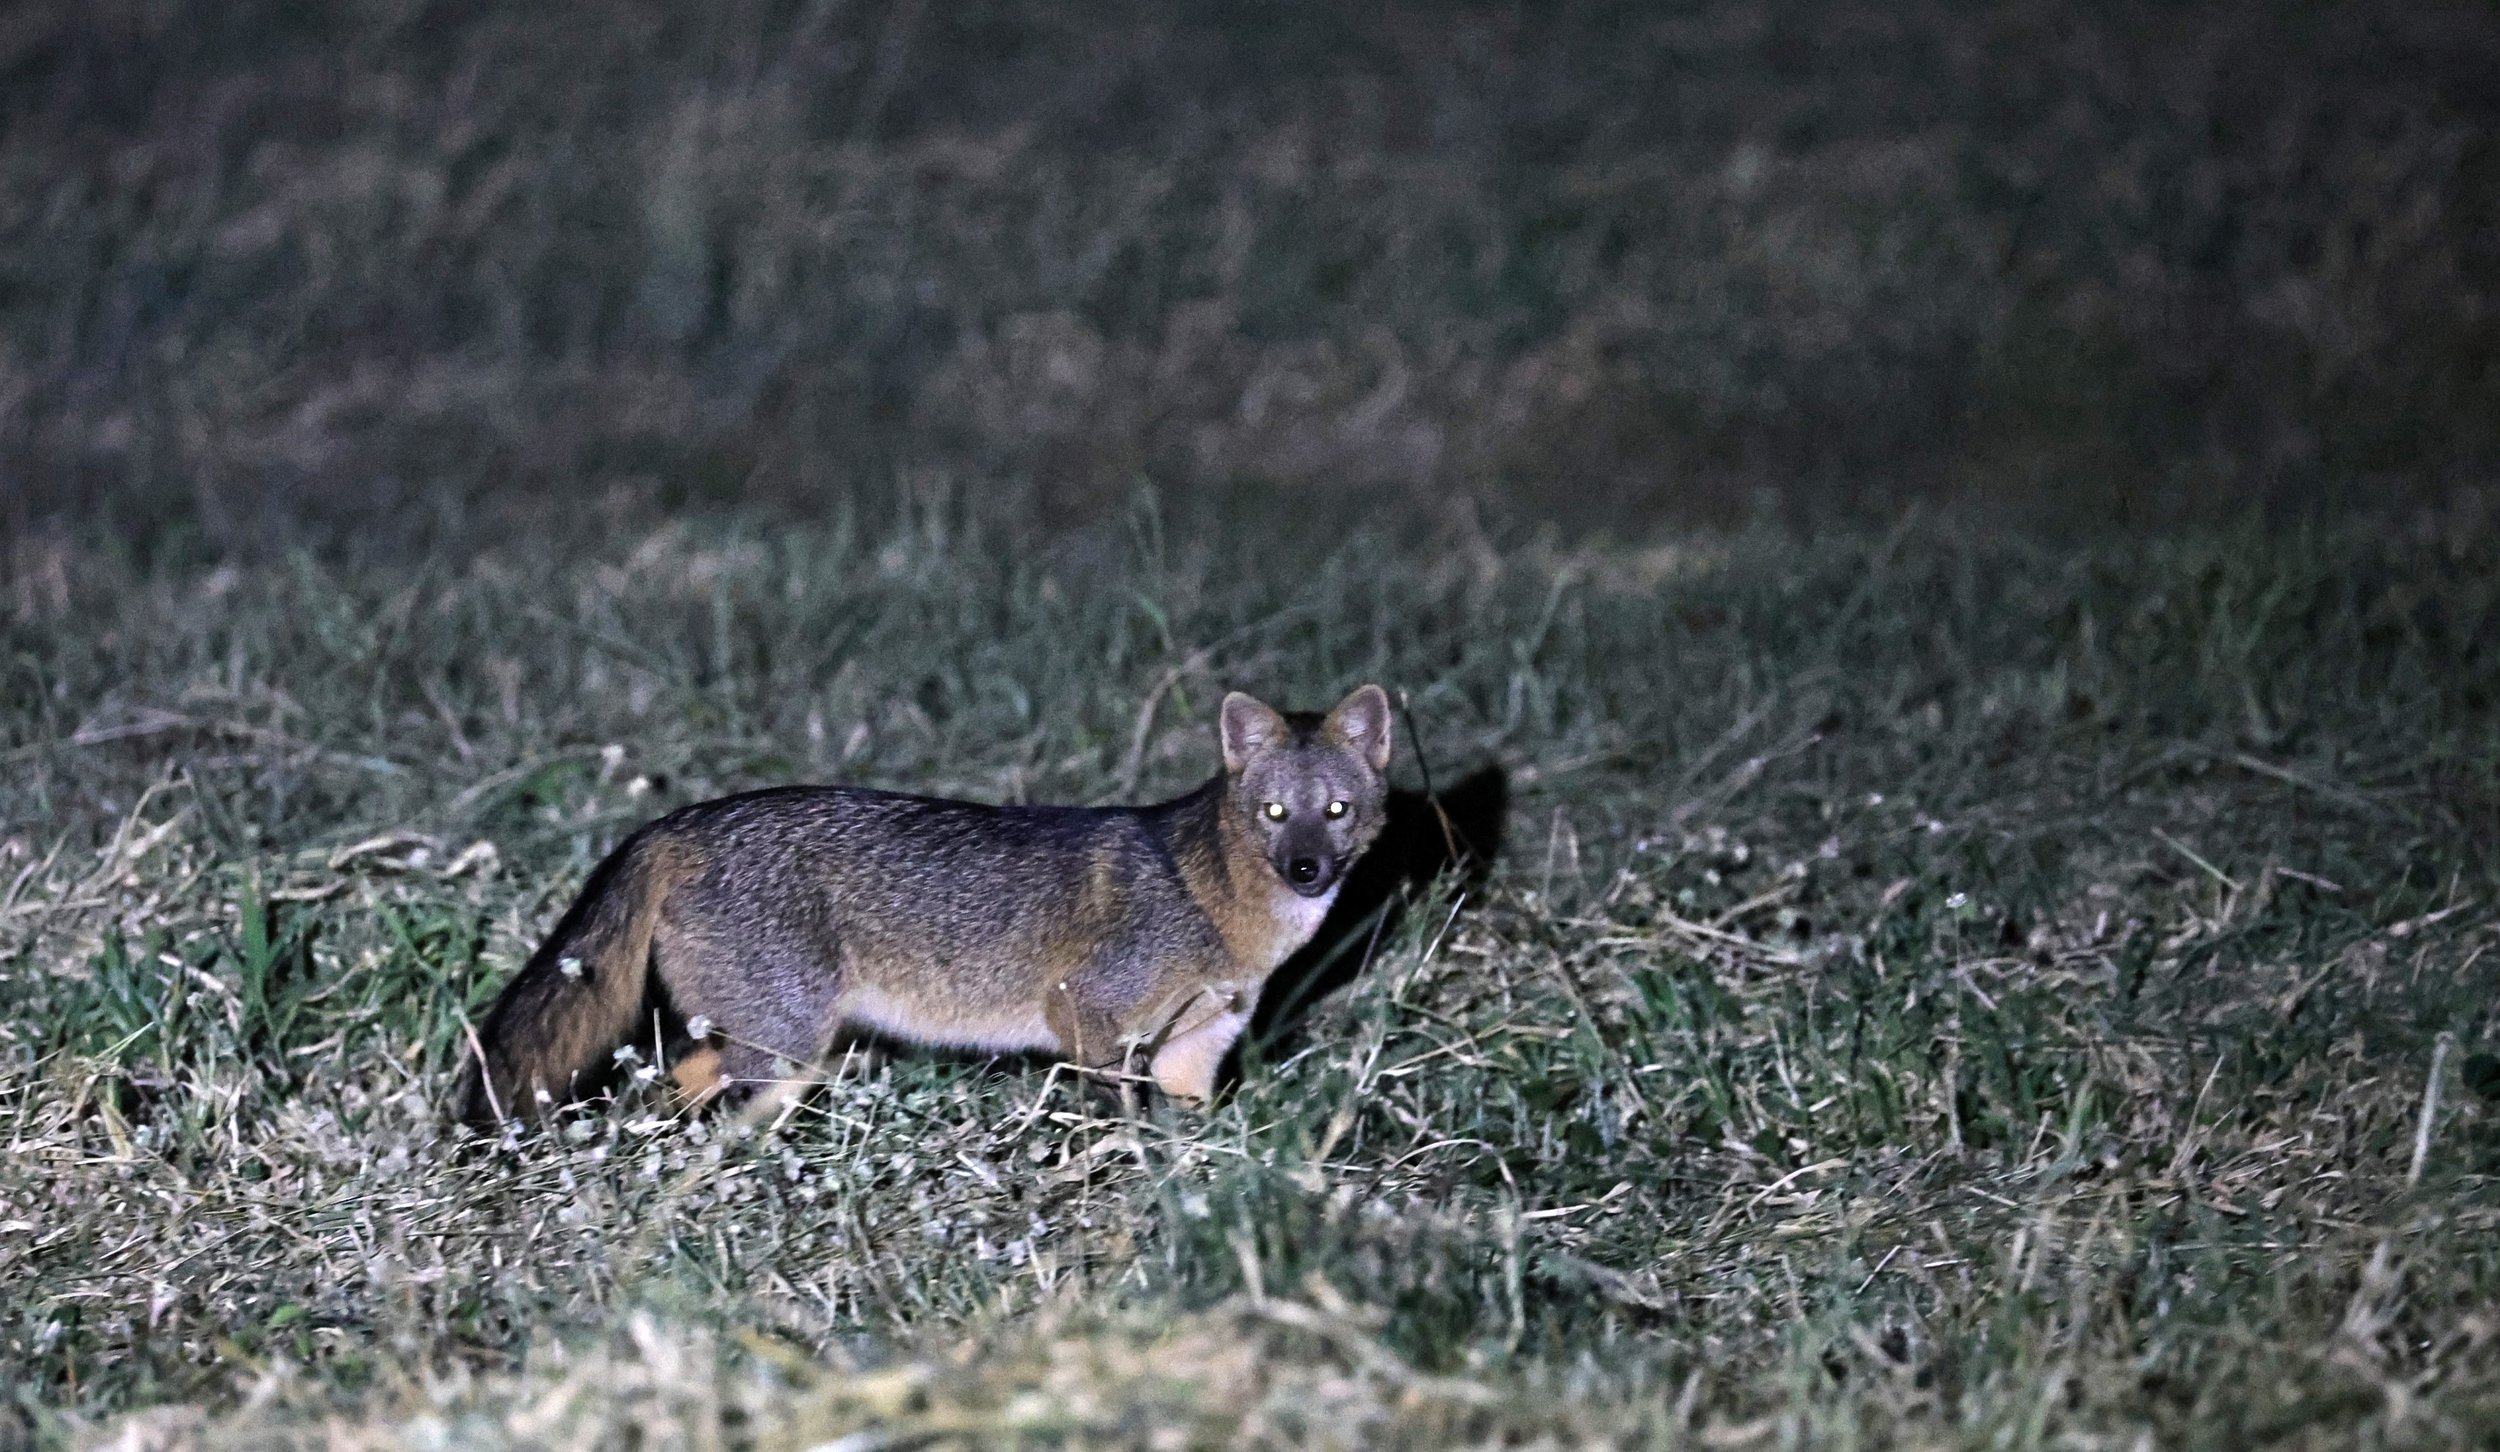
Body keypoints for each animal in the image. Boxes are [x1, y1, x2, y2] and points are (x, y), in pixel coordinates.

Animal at [453, 684, 1393, 1127]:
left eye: (1335, 811)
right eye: (1273, 813)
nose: (1307, 870)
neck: (1214, 902)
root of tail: (677, 822)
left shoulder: (1193, 1056)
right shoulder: (1089, 1016)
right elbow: (1116, 1117)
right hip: (787, 1055)